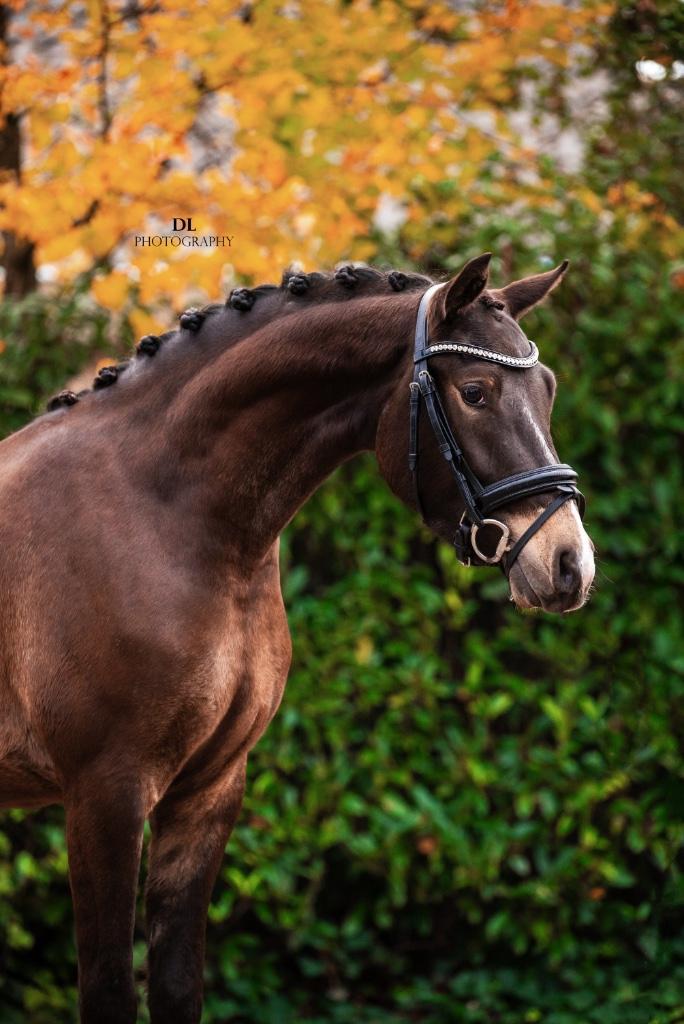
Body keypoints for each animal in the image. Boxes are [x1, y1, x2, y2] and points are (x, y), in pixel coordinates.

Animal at [0, 253, 595, 1023]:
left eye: (547, 389)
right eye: (475, 392)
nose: (569, 564)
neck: (166, 510)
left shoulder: (209, 791)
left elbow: (176, 983)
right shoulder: (105, 795)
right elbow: (108, 991)